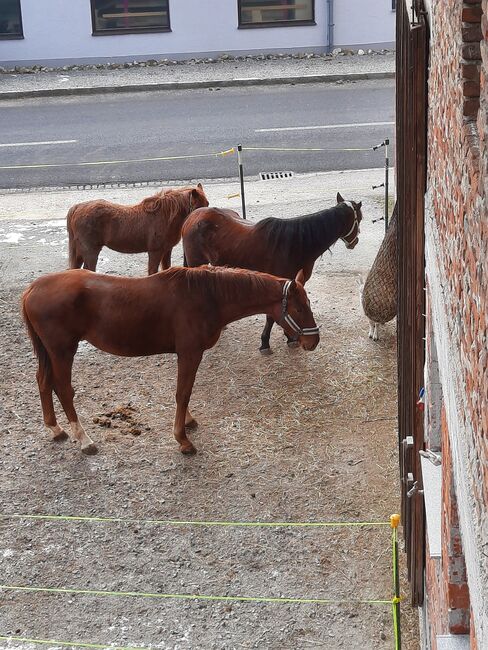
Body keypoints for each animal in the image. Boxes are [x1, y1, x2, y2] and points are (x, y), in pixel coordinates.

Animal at [21, 266, 320, 454]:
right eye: (299, 308)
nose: (313, 341)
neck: (208, 296)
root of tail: (32, 288)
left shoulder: (186, 354)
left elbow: (184, 392)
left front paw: (187, 422)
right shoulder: (190, 352)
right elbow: (183, 392)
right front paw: (182, 439)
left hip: (50, 352)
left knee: (43, 382)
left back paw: (55, 428)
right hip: (62, 351)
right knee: (63, 389)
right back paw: (83, 439)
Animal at [66, 182, 208, 274]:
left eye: (207, 204)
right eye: (198, 206)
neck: (164, 216)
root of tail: (77, 207)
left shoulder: (167, 250)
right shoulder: (155, 252)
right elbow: (153, 272)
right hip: (90, 252)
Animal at [183, 192, 362, 352]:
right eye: (359, 219)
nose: (355, 242)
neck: (294, 244)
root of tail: (192, 216)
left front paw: (290, 337)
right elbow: (272, 316)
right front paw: (266, 342)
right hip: (195, 263)